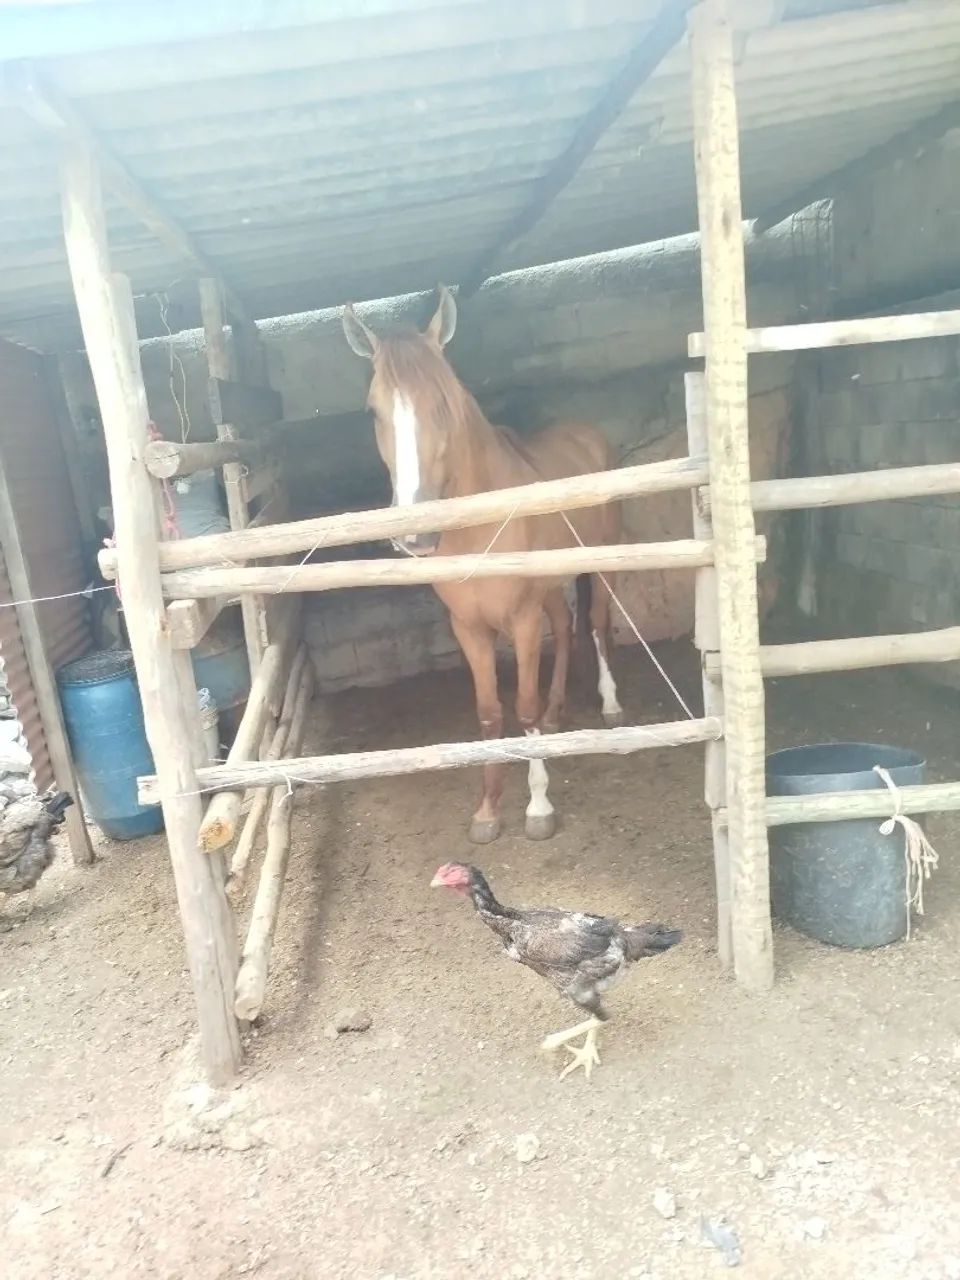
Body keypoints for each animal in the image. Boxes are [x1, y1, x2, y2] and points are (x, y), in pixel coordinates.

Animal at [342, 285, 624, 845]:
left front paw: (538, 807)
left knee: (598, 625)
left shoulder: (521, 619)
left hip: (598, 565)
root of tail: (588, 433)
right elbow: (491, 713)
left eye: (444, 399)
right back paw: (559, 713)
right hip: (549, 589)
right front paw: (488, 810)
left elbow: (523, 706)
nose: (416, 532)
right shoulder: (468, 627)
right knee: (566, 627)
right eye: (373, 411)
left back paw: (608, 705)